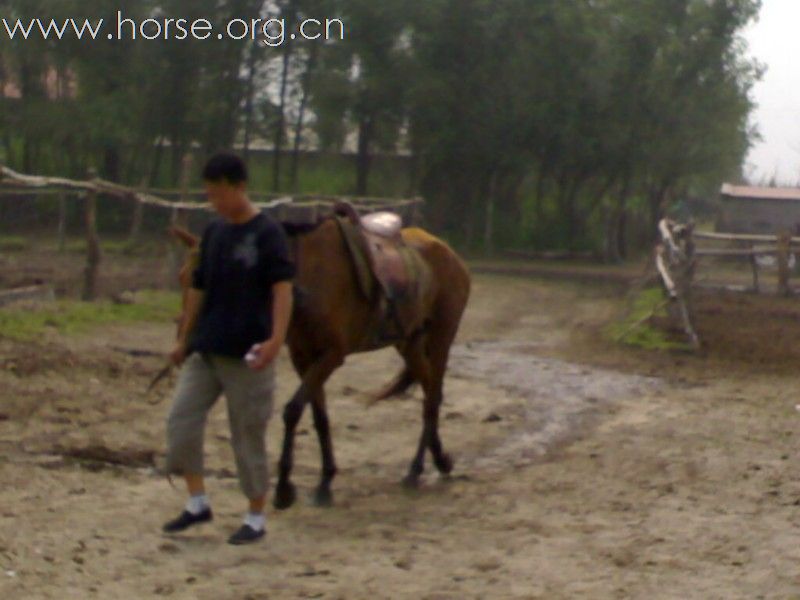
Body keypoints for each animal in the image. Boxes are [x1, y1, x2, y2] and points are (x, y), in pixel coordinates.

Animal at [169, 213, 468, 508]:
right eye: (182, 277)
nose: (184, 341)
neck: (305, 278)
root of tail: (450, 253)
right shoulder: (303, 356)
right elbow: (319, 416)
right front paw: (325, 481)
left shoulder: (331, 355)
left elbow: (293, 410)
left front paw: (284, 488)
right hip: (410, 342)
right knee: (429, 391)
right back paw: (439, 459)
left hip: (441, 338)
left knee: (433, 395)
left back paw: (416, 469)